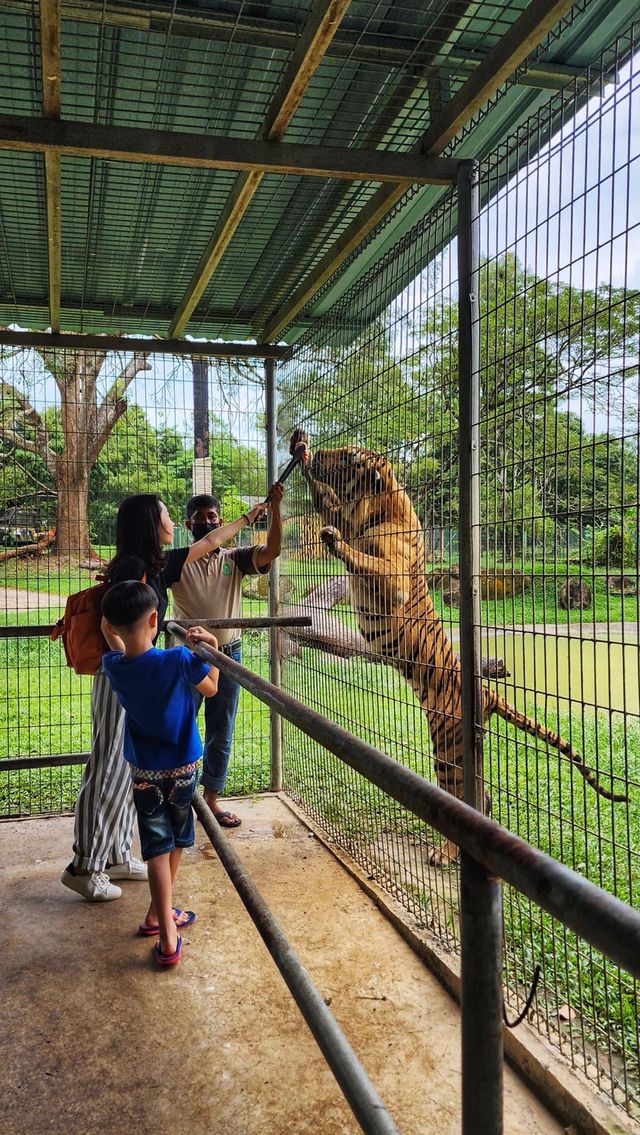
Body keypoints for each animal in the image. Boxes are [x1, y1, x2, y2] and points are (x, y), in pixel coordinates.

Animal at [290, 429, 630, 862]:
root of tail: (487, 691)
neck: (374, 508)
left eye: (349, 456)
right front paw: (301, 451)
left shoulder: (393, 579)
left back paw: (445, 852)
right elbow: (325, 502)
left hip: (449, 747)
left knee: (468, 799)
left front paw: (333, 540)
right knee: (483, 800)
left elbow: (364, 558)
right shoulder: (342, 514)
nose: (317, 451)